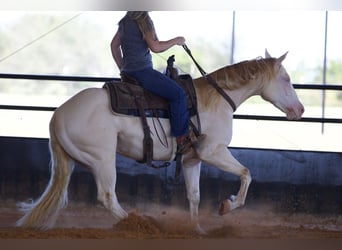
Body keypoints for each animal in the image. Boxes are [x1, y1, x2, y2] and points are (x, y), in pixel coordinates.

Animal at [16, 49, 304, 233]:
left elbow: (194, 196)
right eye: (286, 79)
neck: (217, 99)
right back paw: (142, 225)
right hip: (102, 160)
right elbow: (246, 173)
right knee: (107, 197)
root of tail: (58, 114)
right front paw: (227, 206)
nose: (299, 110)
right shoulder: (213, 152)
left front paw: (197, 229)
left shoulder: (192, 160)